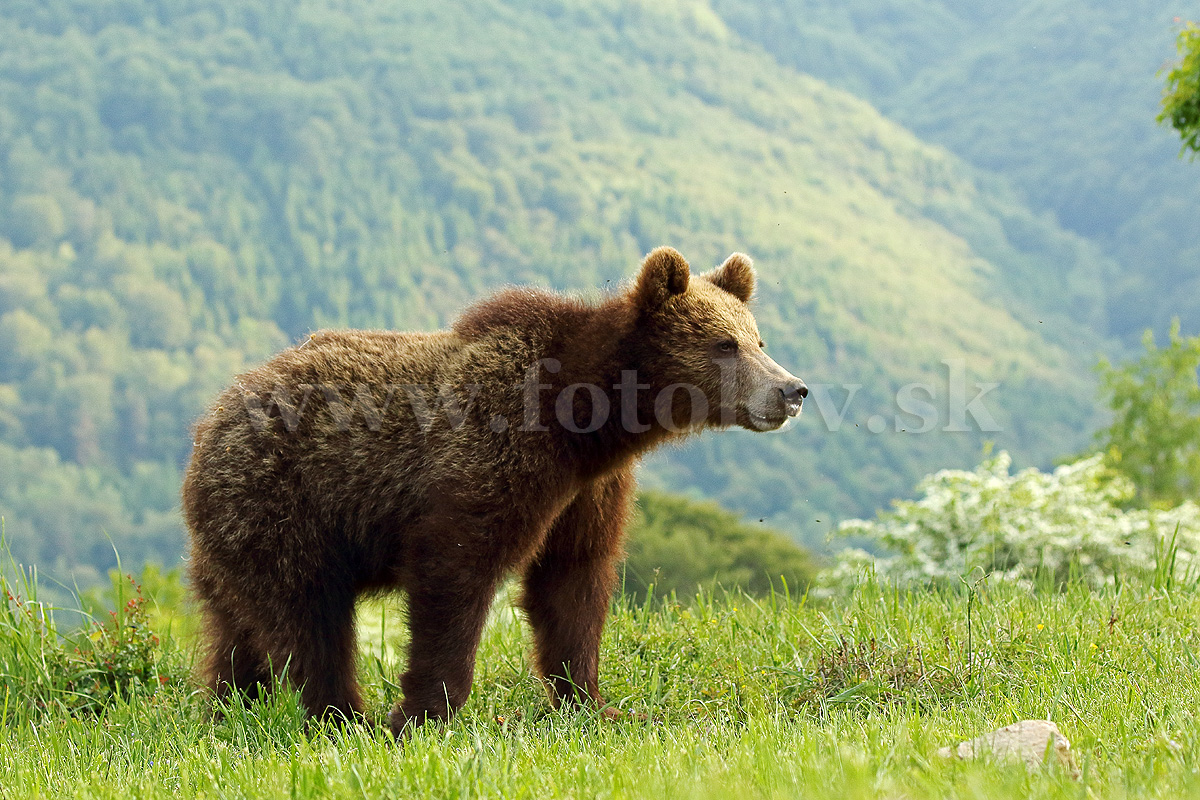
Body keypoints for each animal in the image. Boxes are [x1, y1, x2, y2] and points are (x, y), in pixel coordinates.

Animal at [182, 247, 806, 734]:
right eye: (724, 344)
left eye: (757, 338)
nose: (791, 390)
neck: (585, 421)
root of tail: (212, 419)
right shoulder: (495, 459)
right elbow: (456, 574)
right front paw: (422, 714)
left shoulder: (588, 492)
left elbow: (572, 585)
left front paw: (593, 704)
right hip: (286, 504)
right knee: (308, 620)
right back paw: (340, 717)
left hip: (233, 535)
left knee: (235, 627)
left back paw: (232, 708)